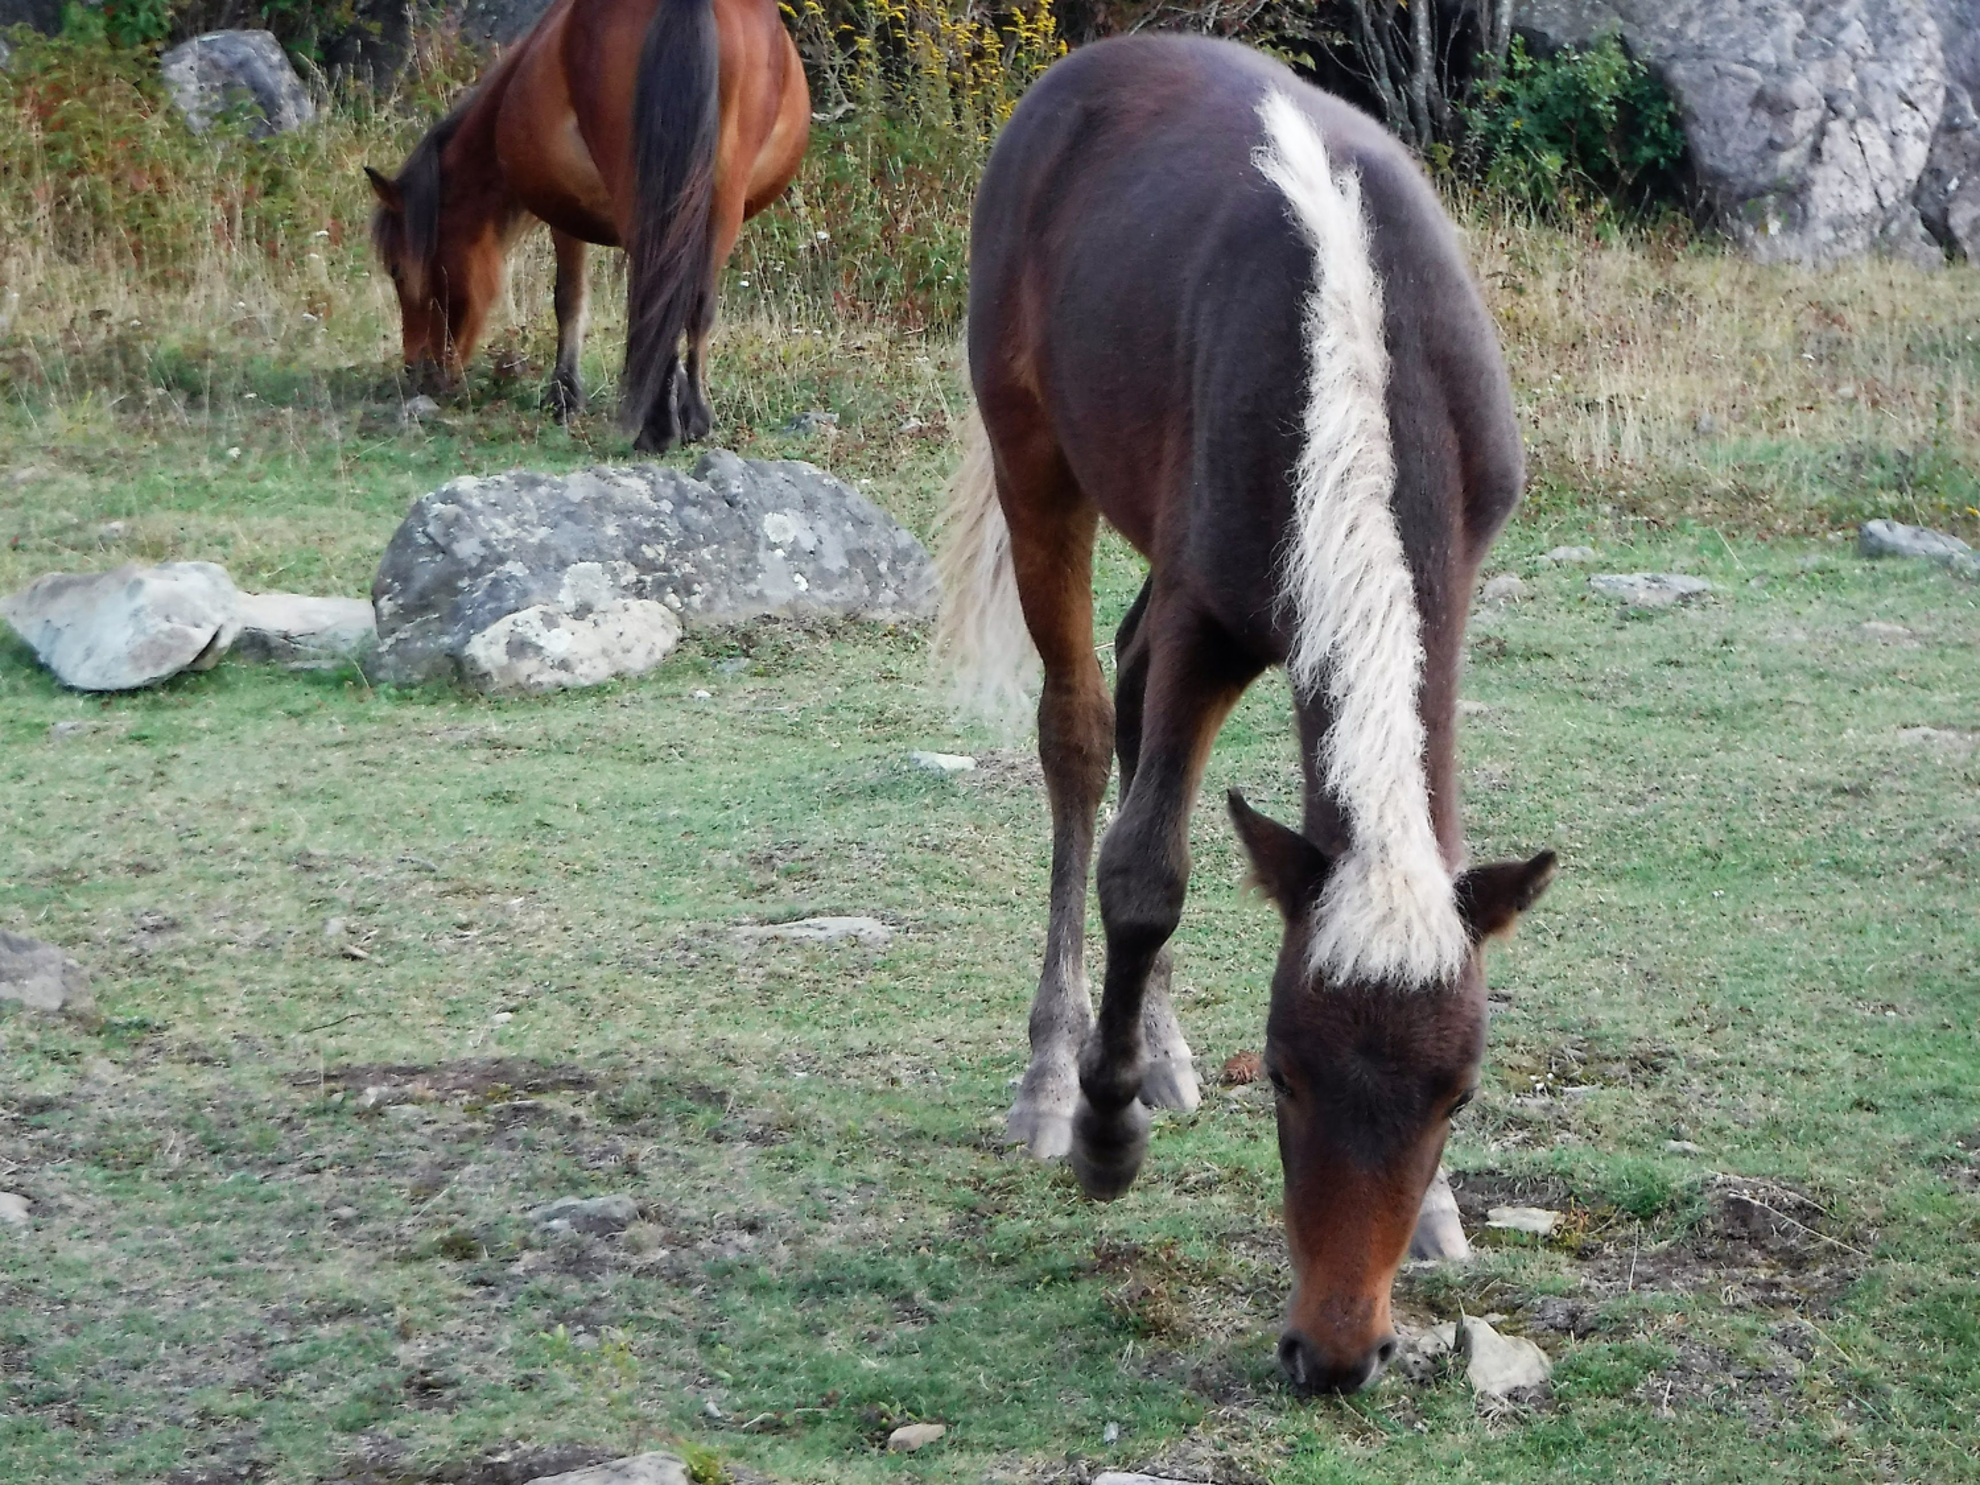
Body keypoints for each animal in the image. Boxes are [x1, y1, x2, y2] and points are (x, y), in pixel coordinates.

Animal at [368, 0, 807, 451]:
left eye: (398, 270)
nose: (418, 369)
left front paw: (564, 396)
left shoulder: (565, 214)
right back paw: (691, 419)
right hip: (721, 195)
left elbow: (568, 299)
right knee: (687, 299)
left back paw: (655, 427)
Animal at [934, 37, 1552, 1409]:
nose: (1337, 1352)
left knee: (1119, 683)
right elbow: (1145, 872)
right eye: (1283, 1075)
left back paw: (1157, 1049)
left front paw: (1437, 1219)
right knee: (1080, 732)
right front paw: (1104, 1132)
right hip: (1035, 458)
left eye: (1457, 1096)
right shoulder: (1211, 619)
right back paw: (1060, 1077)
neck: (1360, 356)